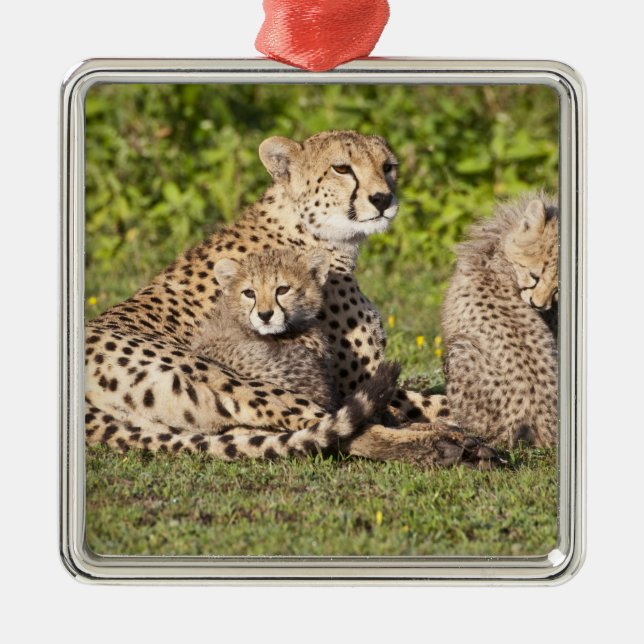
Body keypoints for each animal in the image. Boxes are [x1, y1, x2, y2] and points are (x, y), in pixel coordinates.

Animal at [85, 129, 496, 466]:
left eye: (388, 166)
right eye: (342, 168)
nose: (383, 198)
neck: (312, 232)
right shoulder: (347, 381)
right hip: (232, 377)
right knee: (339, 430)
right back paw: (448, 446)